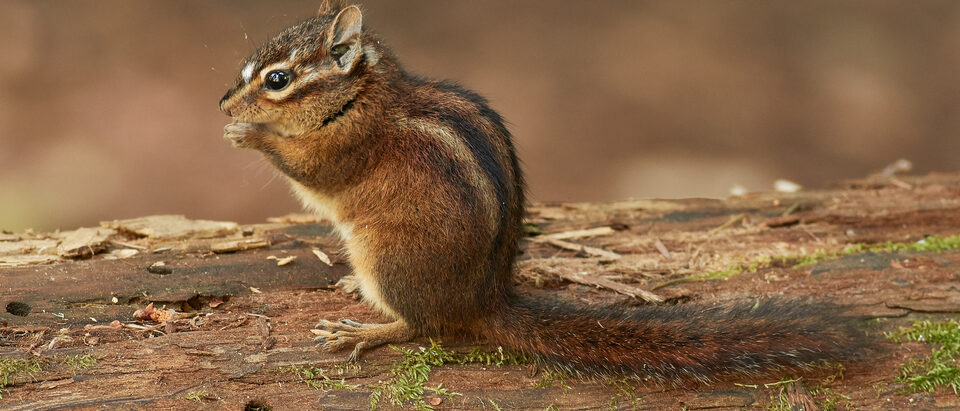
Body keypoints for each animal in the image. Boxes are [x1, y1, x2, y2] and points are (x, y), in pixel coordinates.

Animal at [219, 1, 866, 382]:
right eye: (248, 69)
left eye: (277, 79)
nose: (223, 104)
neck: (363, 96)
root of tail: (482, 300)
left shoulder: (345, 147)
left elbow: (310, 171)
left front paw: (250, 135)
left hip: (390, 255)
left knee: (423, 327)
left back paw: (366, 330)